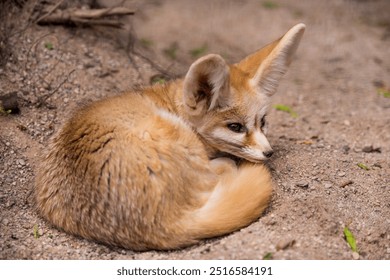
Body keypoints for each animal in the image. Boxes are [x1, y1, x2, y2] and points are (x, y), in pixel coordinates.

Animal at [34, 22, 304, 249]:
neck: (171, 104)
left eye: (263, 122)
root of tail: (161, 225)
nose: (269, 153)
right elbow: (226, 162)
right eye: (236, 127)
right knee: (222, 171)